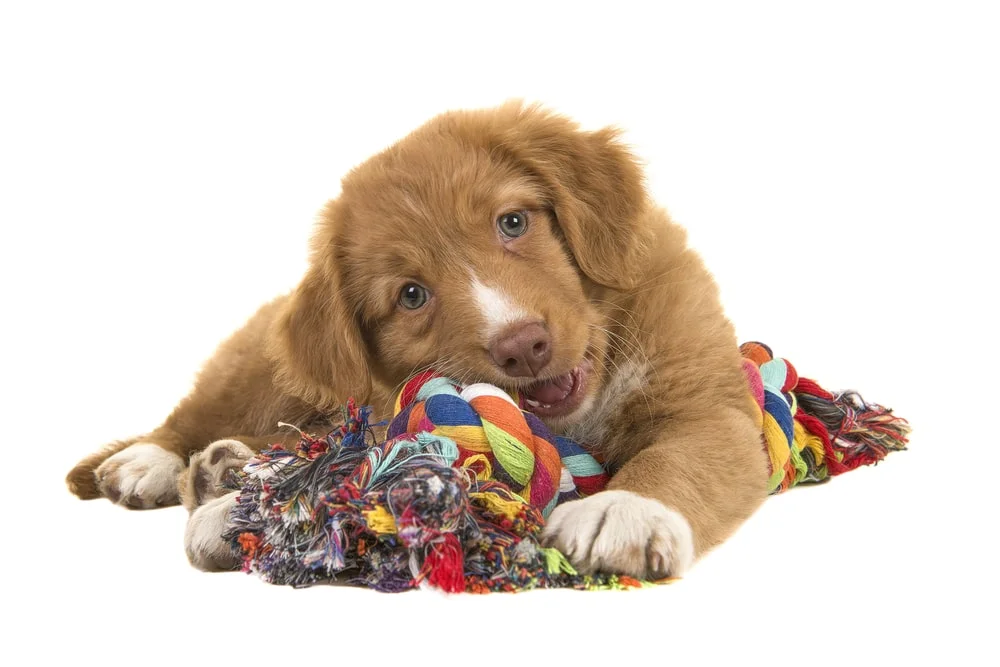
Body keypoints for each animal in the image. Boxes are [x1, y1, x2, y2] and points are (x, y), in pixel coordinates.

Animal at [64, 103, 764, 580]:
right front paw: (250, 513)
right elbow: (351, 469)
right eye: (411, 295)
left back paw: (221, 469)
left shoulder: (710, 409)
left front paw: (624, 509)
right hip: (254, 368)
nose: (523, 346)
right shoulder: (389, 420)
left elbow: (677, 456)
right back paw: (156, 463)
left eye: (514, 222)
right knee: (198, 415)